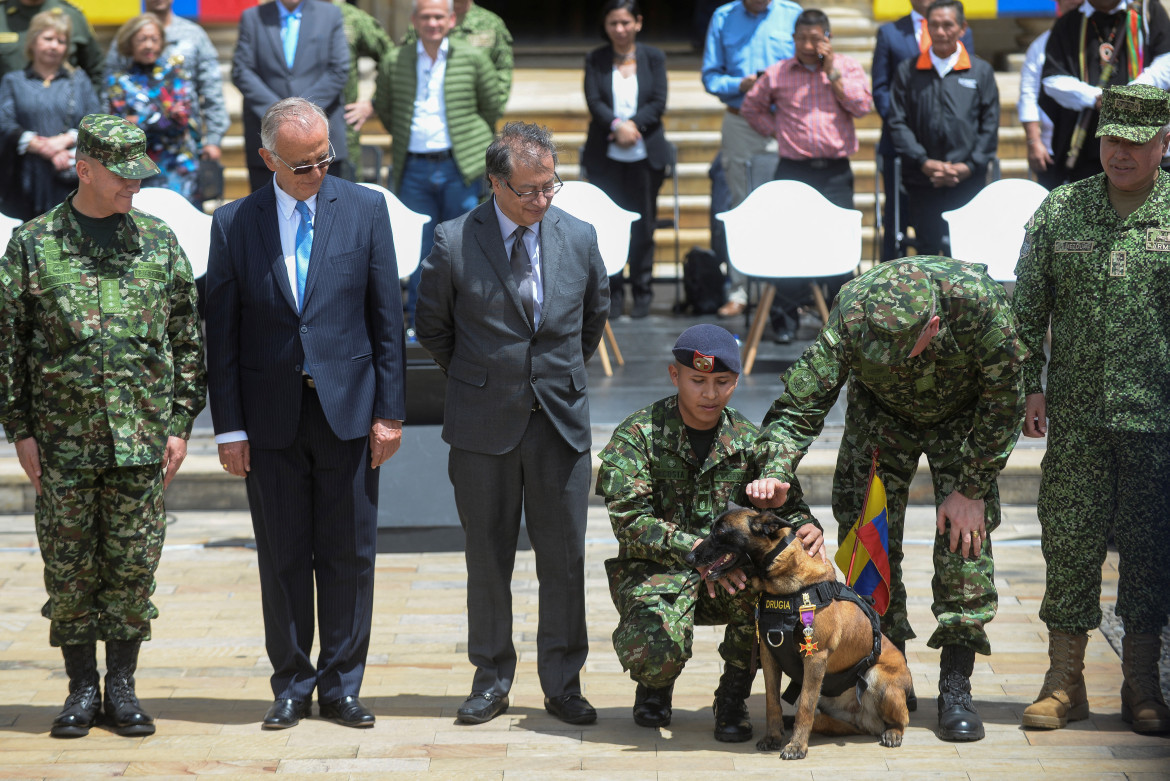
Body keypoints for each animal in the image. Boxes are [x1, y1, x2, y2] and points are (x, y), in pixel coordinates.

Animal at [683, 507, 912, 757]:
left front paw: (796, 745)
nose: (689, 558)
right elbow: (772, 702)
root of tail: (865, 721)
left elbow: (805, 707)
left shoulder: (815, 658)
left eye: (720, 532)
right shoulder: (769, 655)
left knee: (903, 719)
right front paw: (773, 737)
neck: (784, 587)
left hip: (877, 677)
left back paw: (893, 733)